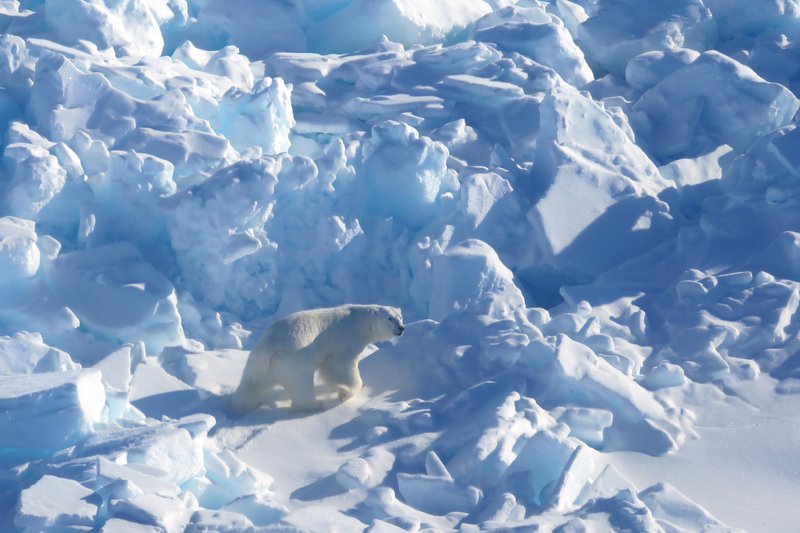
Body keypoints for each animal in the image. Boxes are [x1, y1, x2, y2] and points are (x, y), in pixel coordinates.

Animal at [229, 304, 404, 414]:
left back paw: (240, 406)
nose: (401, 328)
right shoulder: (346, 339)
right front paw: (345, 393)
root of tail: (272, 348)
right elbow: (340, 365)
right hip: (294, 362)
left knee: (251, 385)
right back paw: (315, 405)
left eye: (400, 317)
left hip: (256, 363)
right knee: (302, 386)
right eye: (389, 318)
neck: (362, 322)